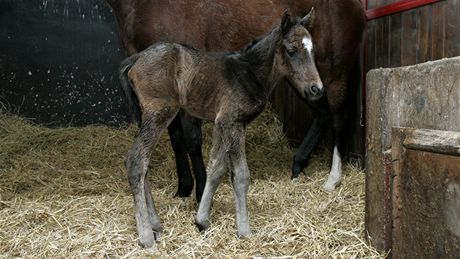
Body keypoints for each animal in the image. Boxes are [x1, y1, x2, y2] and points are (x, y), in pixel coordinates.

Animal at [120, 10, 322, 249]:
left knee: (142, 163)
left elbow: (215, 170)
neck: (249, 72)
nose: (316, 89)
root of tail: (134, 59)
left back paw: (156, 225)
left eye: (312, 50)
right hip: (160, 113)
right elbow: (241, 175)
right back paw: (146, 236)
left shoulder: (222, 124)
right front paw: (244, 231)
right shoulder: (231, 122)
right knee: (136, 160)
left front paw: (201, 221)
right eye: (291, 51)